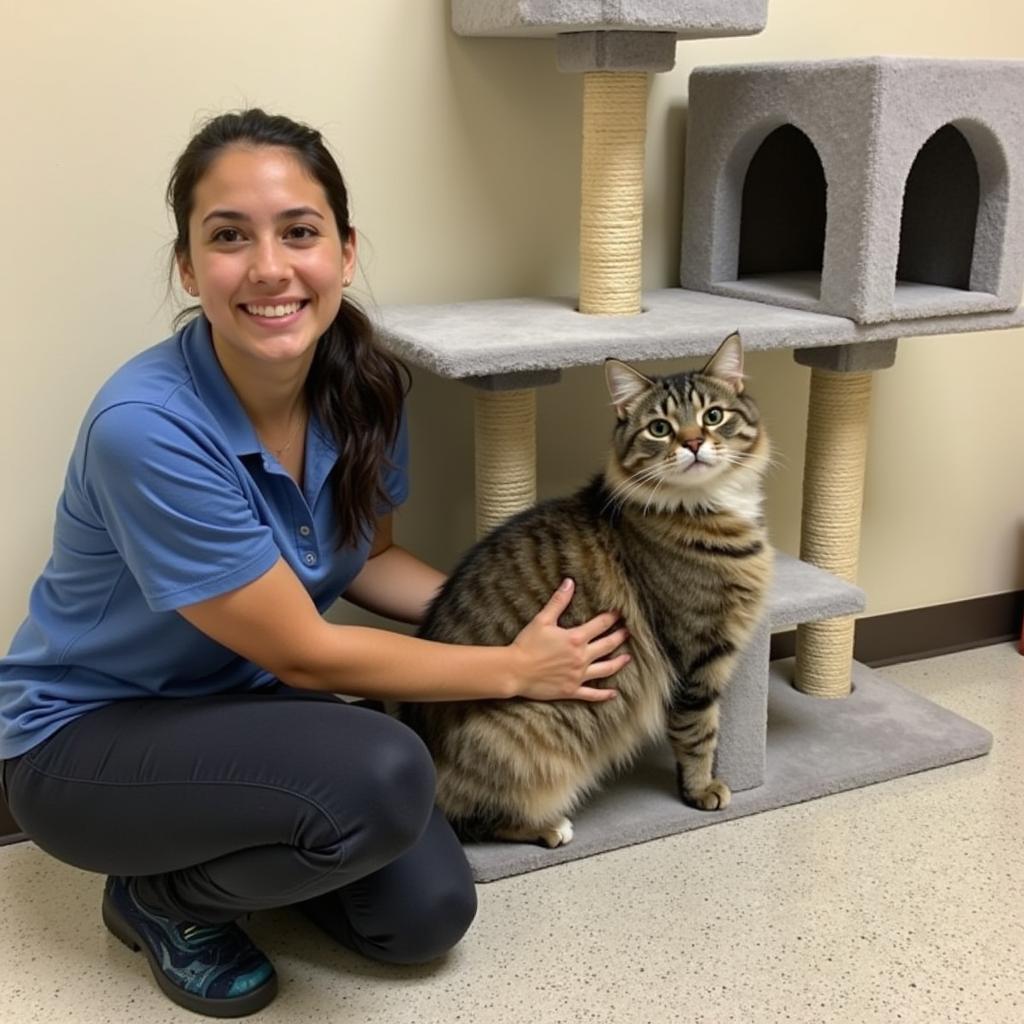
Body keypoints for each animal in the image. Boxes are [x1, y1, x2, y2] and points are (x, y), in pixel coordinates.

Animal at [403, 333, 770, 847]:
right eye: (660, 428)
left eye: (713, 416)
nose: (694, 443)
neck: (703, 507)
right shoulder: (695, 656)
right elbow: (699, 733)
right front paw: (701, 790)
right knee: (472, 819)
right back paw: (549, 826)